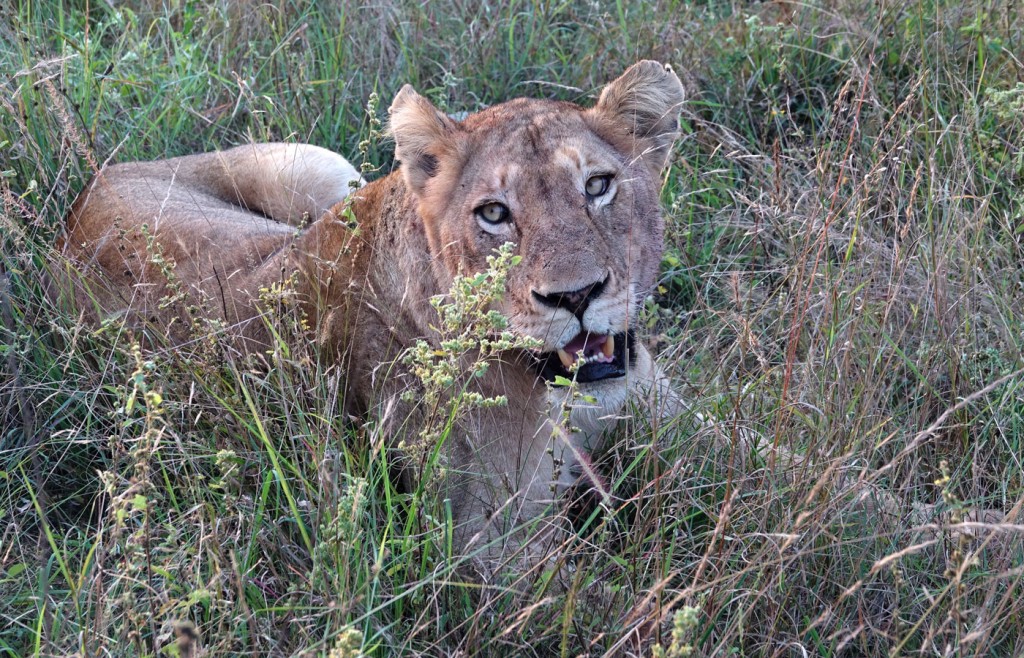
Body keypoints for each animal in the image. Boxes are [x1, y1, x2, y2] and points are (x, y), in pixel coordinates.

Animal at [61, 61, 688, 577]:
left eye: (598, 185)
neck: (571, 395)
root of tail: (86, 194)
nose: (576, 296)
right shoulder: (490, 544)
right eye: (493, 213)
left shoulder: (678, 423)